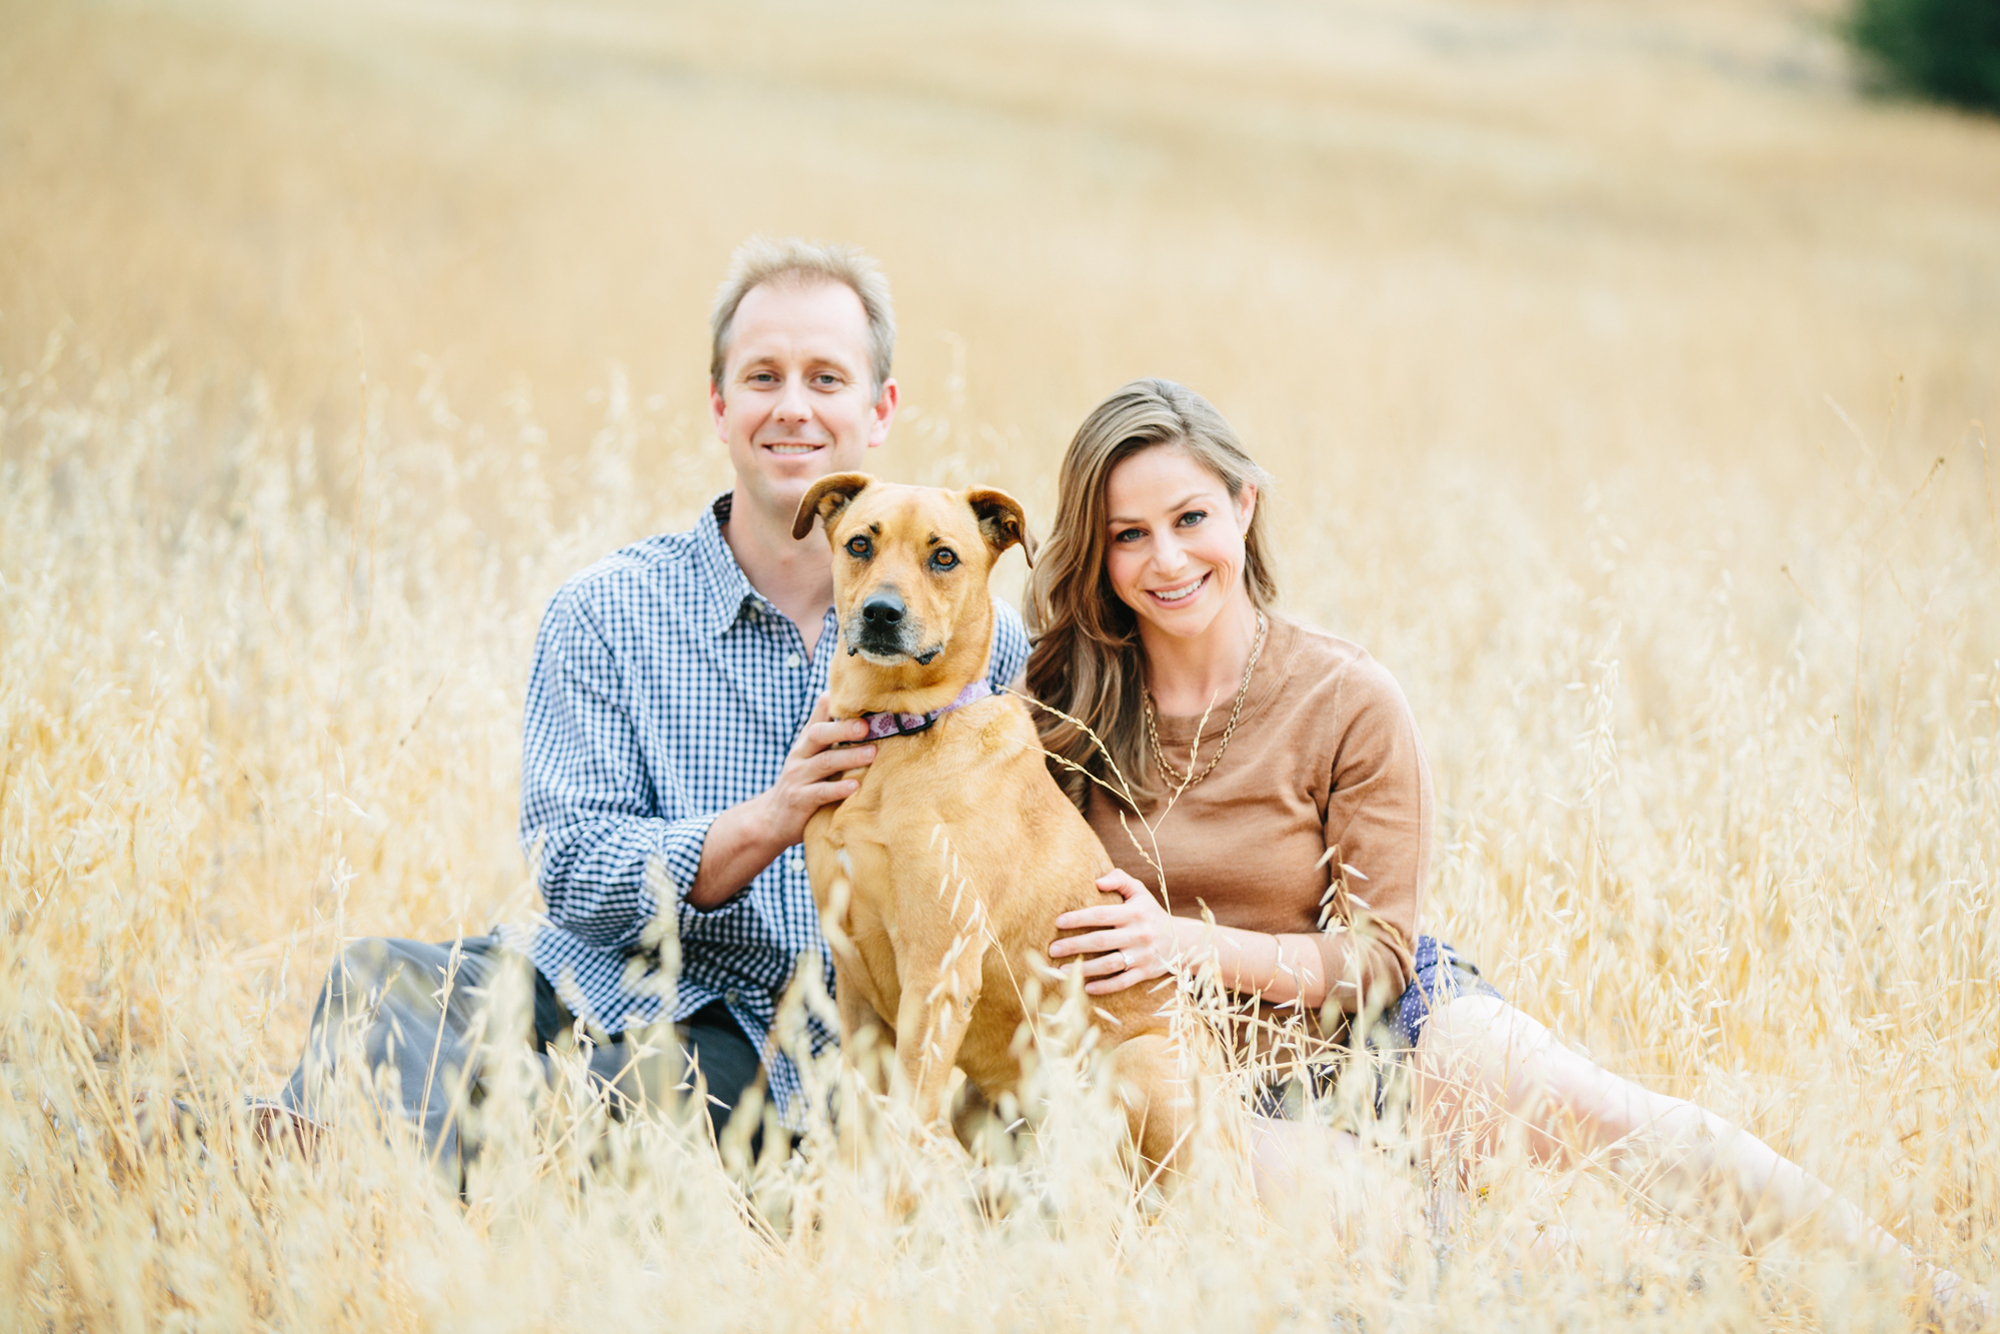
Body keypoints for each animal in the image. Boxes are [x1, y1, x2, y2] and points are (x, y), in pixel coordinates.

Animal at [788, 472, 1208, 1176]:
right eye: (859, 544)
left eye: (944, 557)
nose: (880, 613)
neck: (898, 736)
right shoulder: (854, 984)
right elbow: (863, 1131)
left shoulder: (938, 973)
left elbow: (903, 1127)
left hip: (1141, 1064)